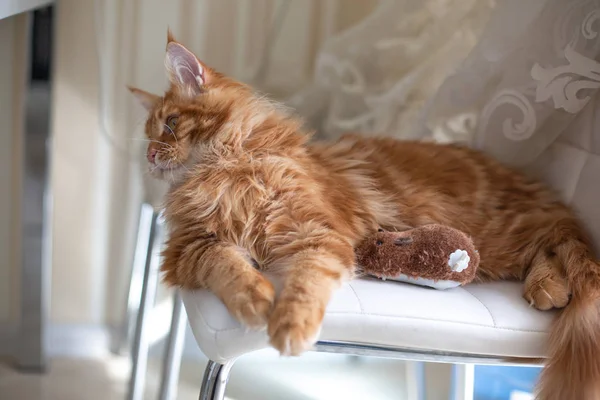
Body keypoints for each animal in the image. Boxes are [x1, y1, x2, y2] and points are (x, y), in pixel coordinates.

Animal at [130, 33, 600, 400]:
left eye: (171, 124)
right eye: (151, 135)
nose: (150, 156)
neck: (225, 171)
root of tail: (530, 185)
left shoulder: (317, 233)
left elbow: (305, 284)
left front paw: (289, 325)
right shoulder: (191, 249)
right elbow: (227, 264)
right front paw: (256, 296)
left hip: (498, 236)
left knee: (552, 243)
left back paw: (548, 286)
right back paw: (548, 286)